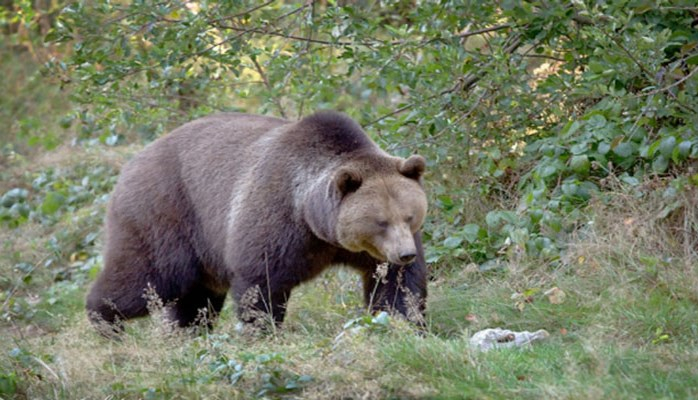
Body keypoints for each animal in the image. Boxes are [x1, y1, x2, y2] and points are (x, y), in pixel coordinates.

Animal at [85, 110, 426, 334]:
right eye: (380, 221)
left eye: (410, 216)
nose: (404, 253)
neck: (316, 222)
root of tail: (127, 167)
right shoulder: (277, 220)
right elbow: (261, 281)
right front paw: (263, 330)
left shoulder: (367, 251)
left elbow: (396, 286)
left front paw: (404, 325)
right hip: (166, 214)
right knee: (146, 279)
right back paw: (104, 320)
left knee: (194, 302)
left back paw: (186, 334)